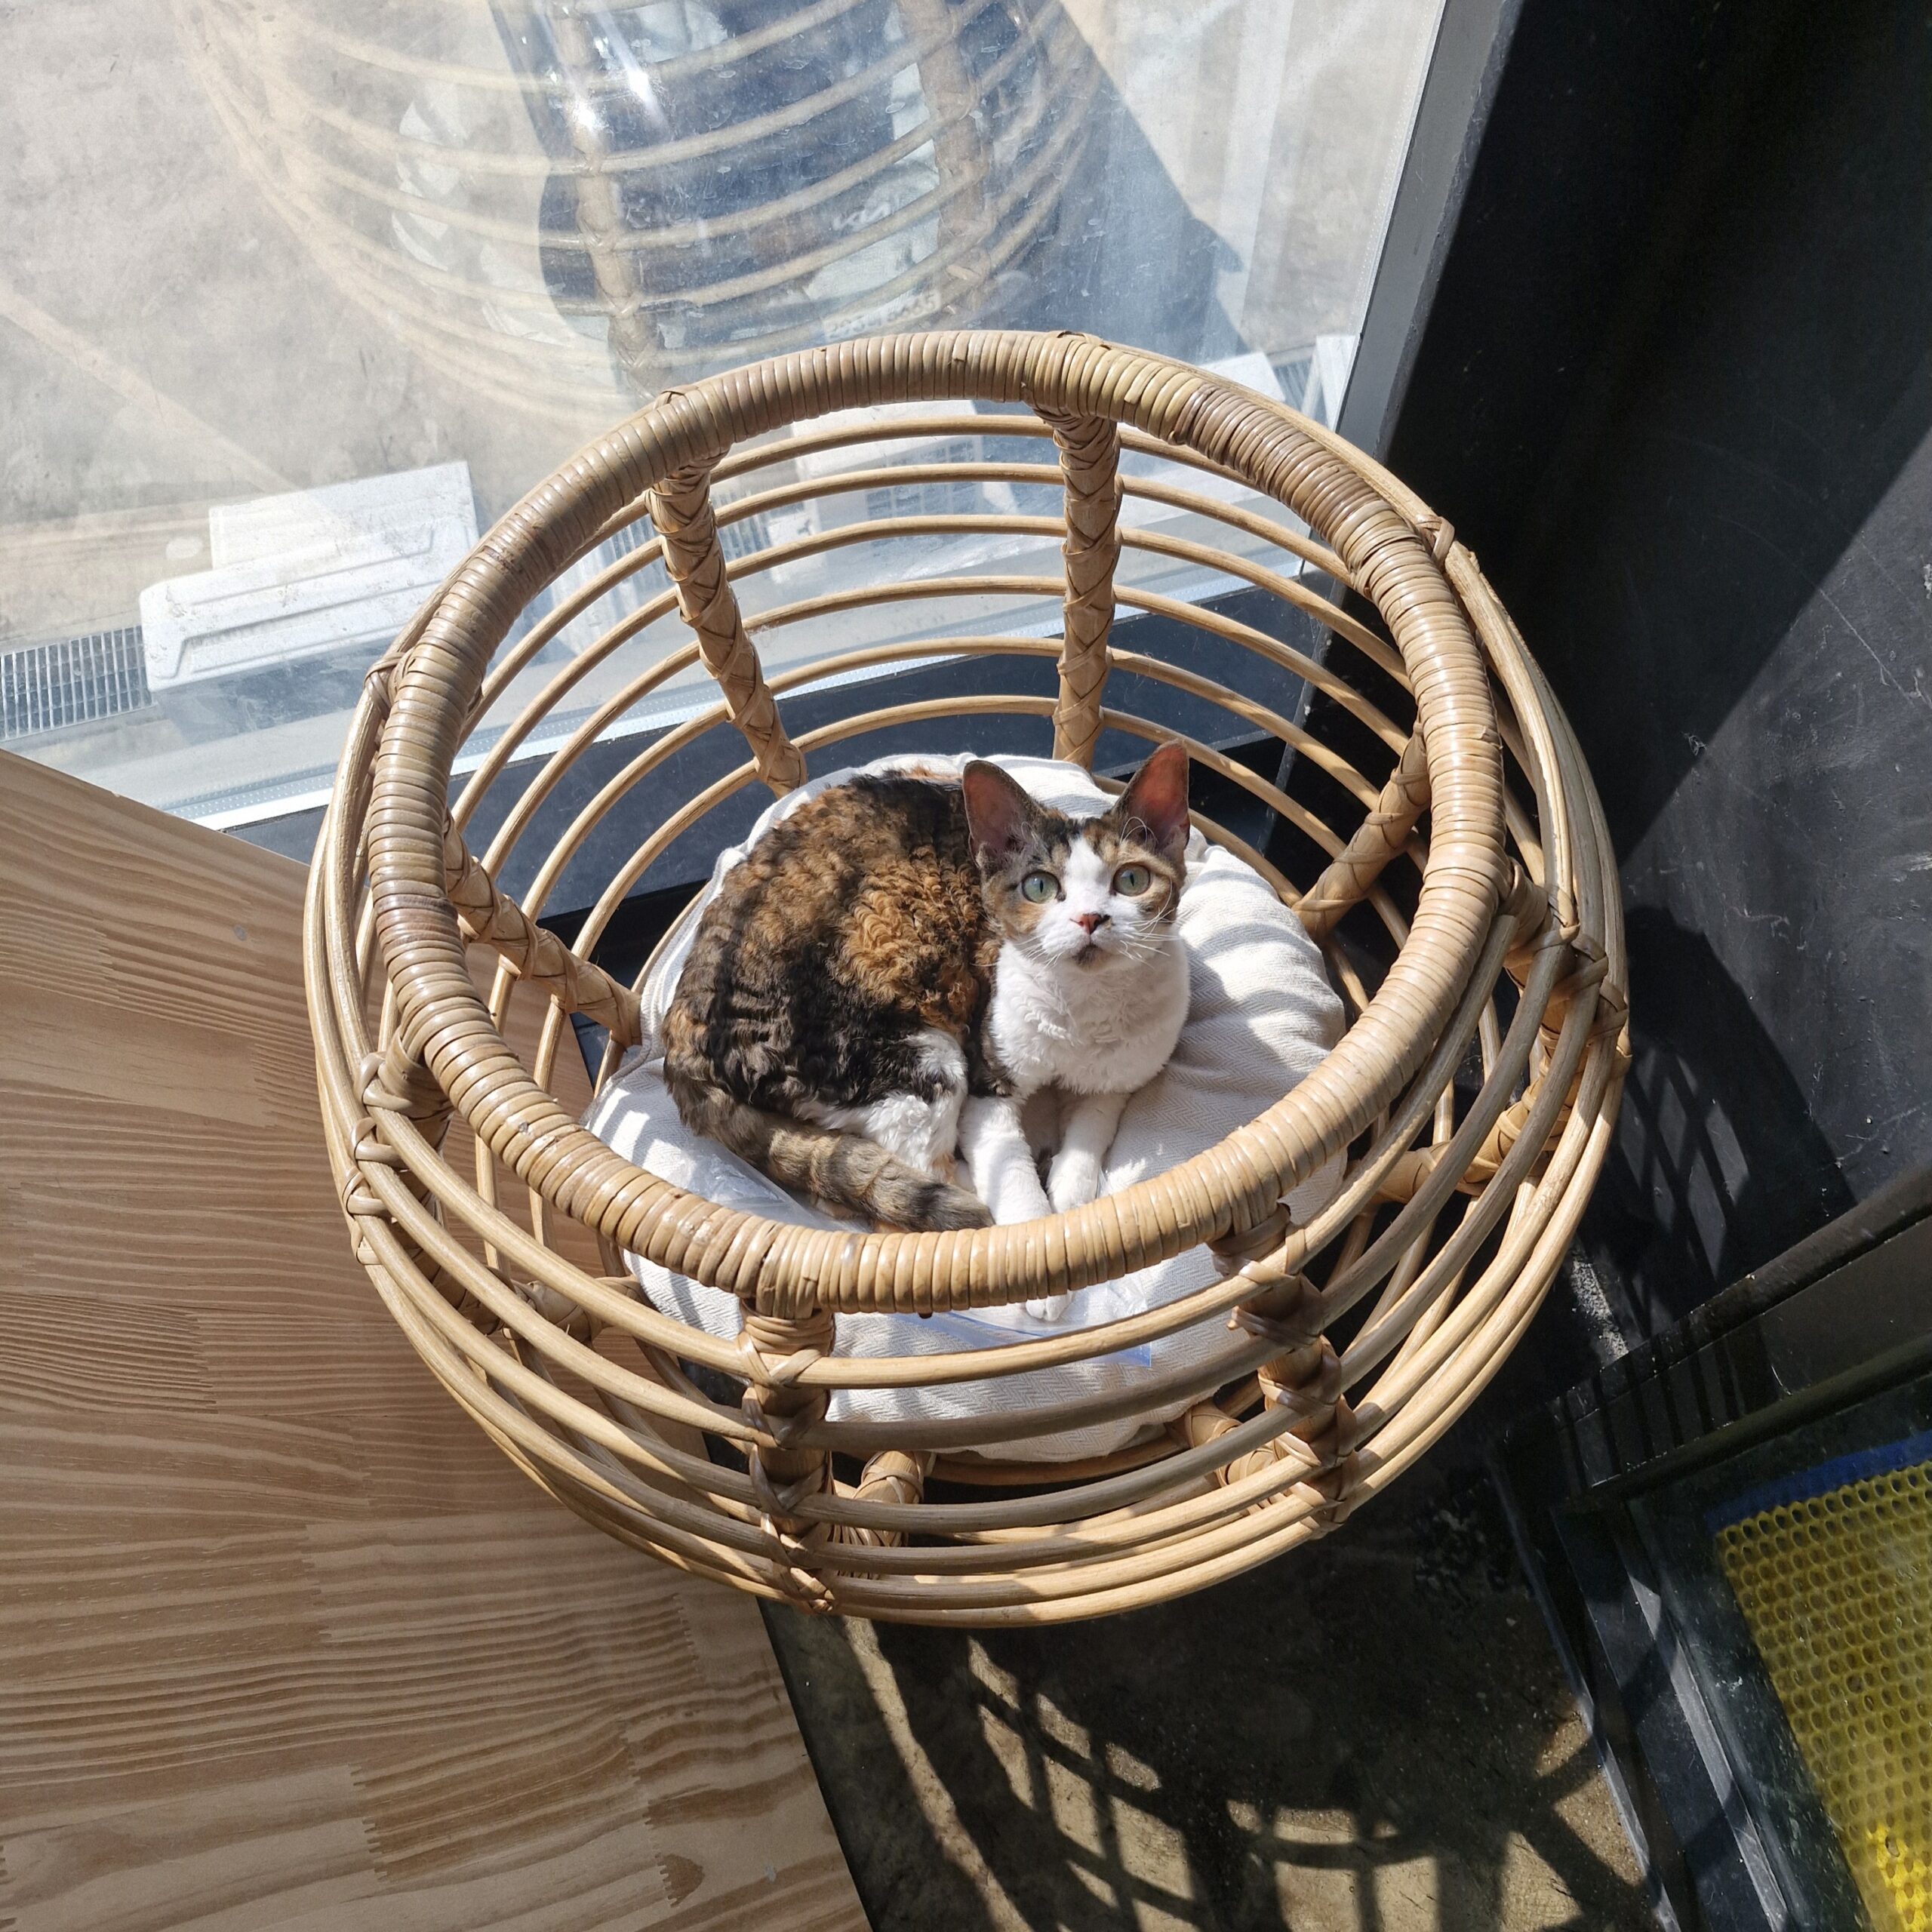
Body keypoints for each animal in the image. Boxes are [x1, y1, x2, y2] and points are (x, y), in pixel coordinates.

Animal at [660, 743, 1193, 1236]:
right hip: (916, 1059)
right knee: (907, 1198)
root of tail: (680, 1044)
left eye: (1131, 880)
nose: (1090, 918)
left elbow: (1088, 1139)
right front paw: (1037, 1239)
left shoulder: (1119, 1082)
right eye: (1040, 887)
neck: (1086, 1013)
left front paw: (1071, 1200)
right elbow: (1013, 1185)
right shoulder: (985, 1078)